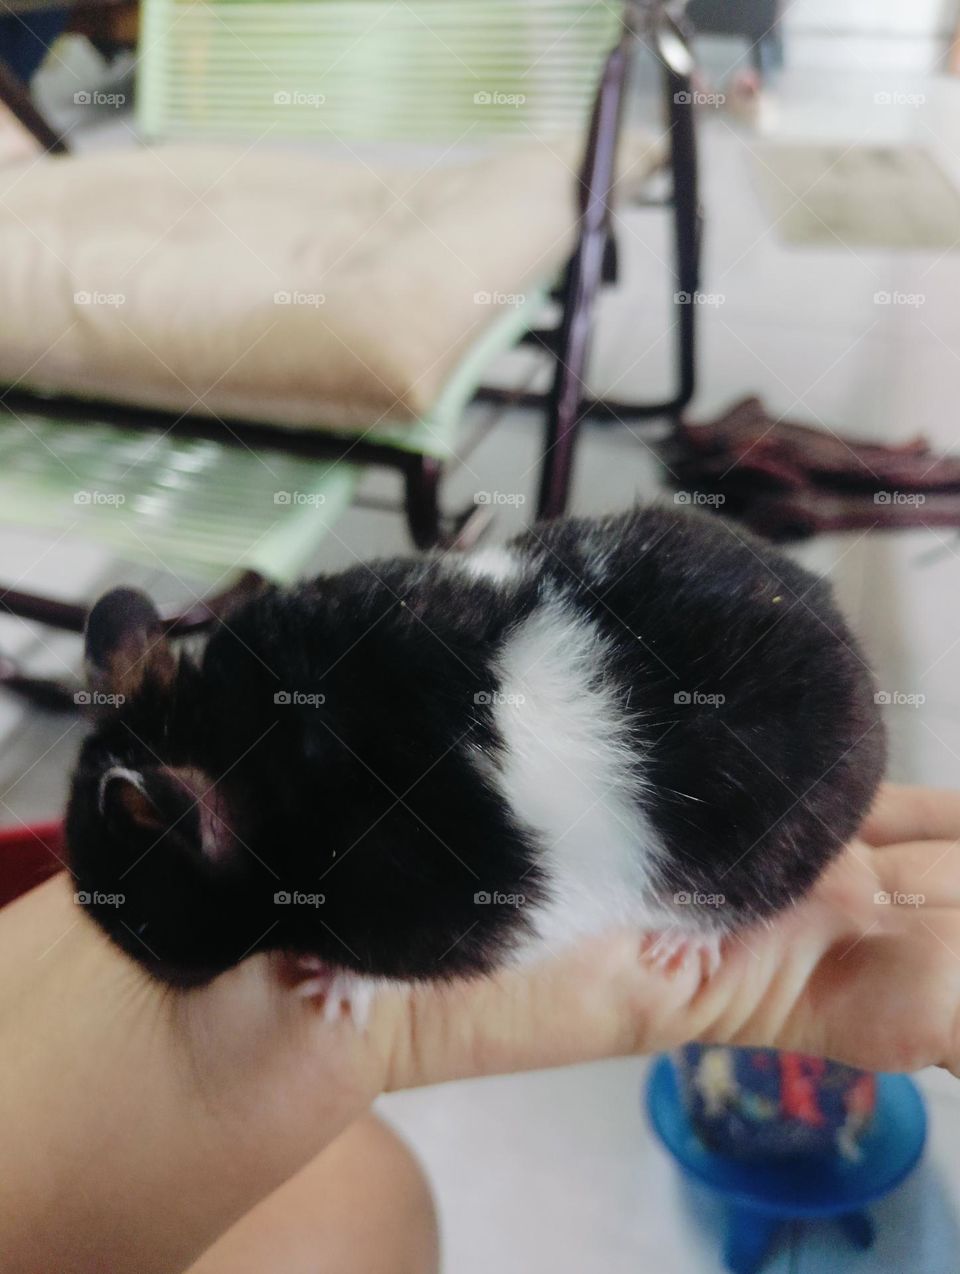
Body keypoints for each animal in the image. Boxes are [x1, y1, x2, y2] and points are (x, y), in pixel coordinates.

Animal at [66, 506, 885, 1017]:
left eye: (142, 932)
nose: (166, 983)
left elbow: (374, 973)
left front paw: (326, 996)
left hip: (769, 850)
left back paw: (679, 949)